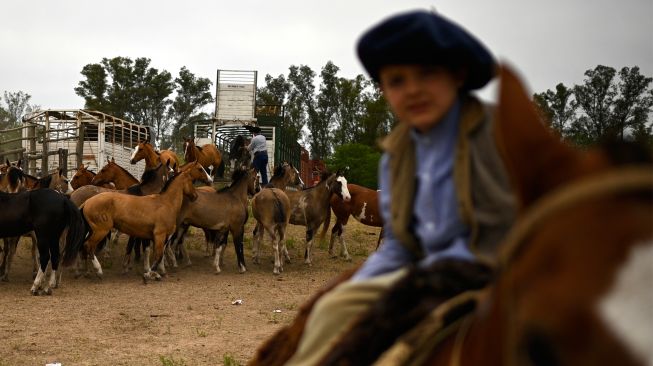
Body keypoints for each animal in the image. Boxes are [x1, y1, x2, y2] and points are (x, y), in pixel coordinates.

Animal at [79, 161, 211, 280]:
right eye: (190, 180)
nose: (195, 196)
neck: (166, 203)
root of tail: (87, 202)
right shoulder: (159, 235)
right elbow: (157, 255)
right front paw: (150, 273)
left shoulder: (160, 237)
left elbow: (158, 254)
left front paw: (159, 271)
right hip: (101, 231)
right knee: (89, 246)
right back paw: (98, 270)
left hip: (93, 231)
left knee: (84, 246)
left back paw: (86, 271)